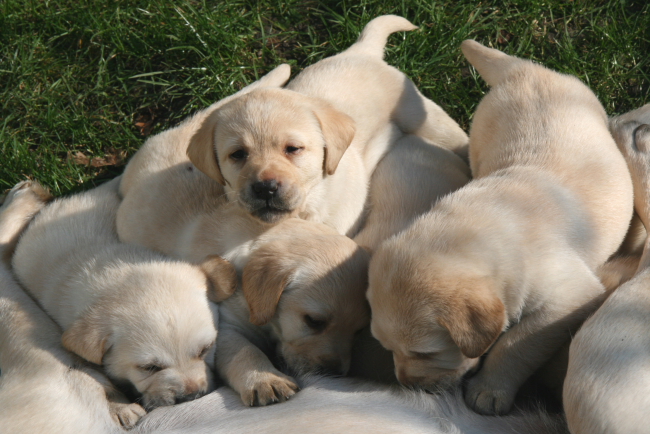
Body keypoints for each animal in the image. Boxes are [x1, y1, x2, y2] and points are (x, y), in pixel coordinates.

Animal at [185, 15, 468, 236]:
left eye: (293, 149)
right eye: (237, 155)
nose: (266, 188)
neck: (311, 201)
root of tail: (360, 50)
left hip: (424, 116)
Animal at [368, 42, 632, 416]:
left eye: (425, 353)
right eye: (385, 346)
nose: (406, 385)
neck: (473, 231)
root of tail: (522, 70)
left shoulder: (569, 297)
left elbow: (515, 343)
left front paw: (489, 390)